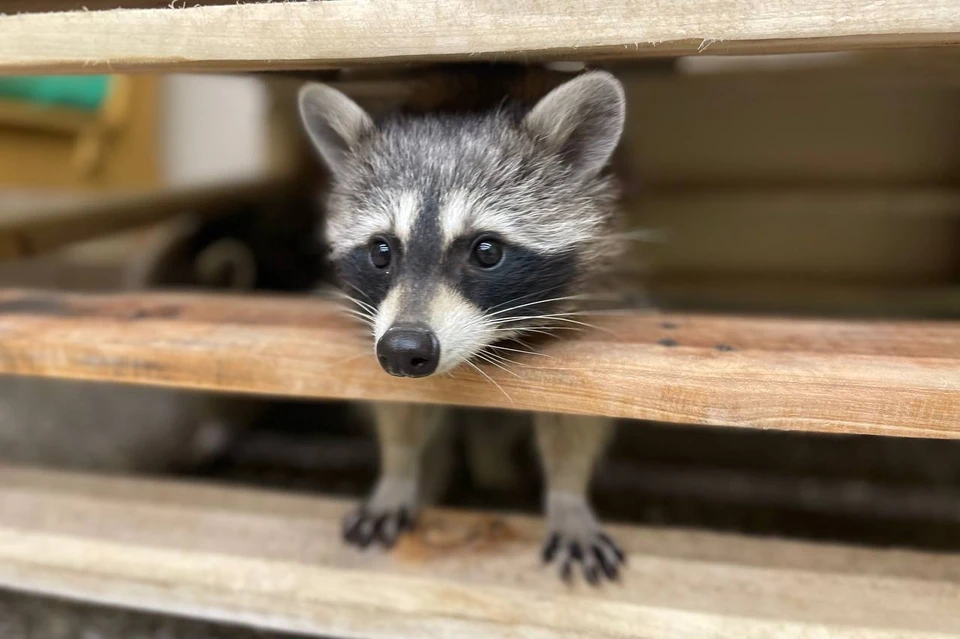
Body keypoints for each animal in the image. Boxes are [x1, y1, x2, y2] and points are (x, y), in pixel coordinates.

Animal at [302, 71, 632, 584]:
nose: (403, 350)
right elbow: (400, 411)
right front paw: (398, 472)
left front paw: (568, 495)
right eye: (381, 251)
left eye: (486, 251)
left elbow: (575, 419)